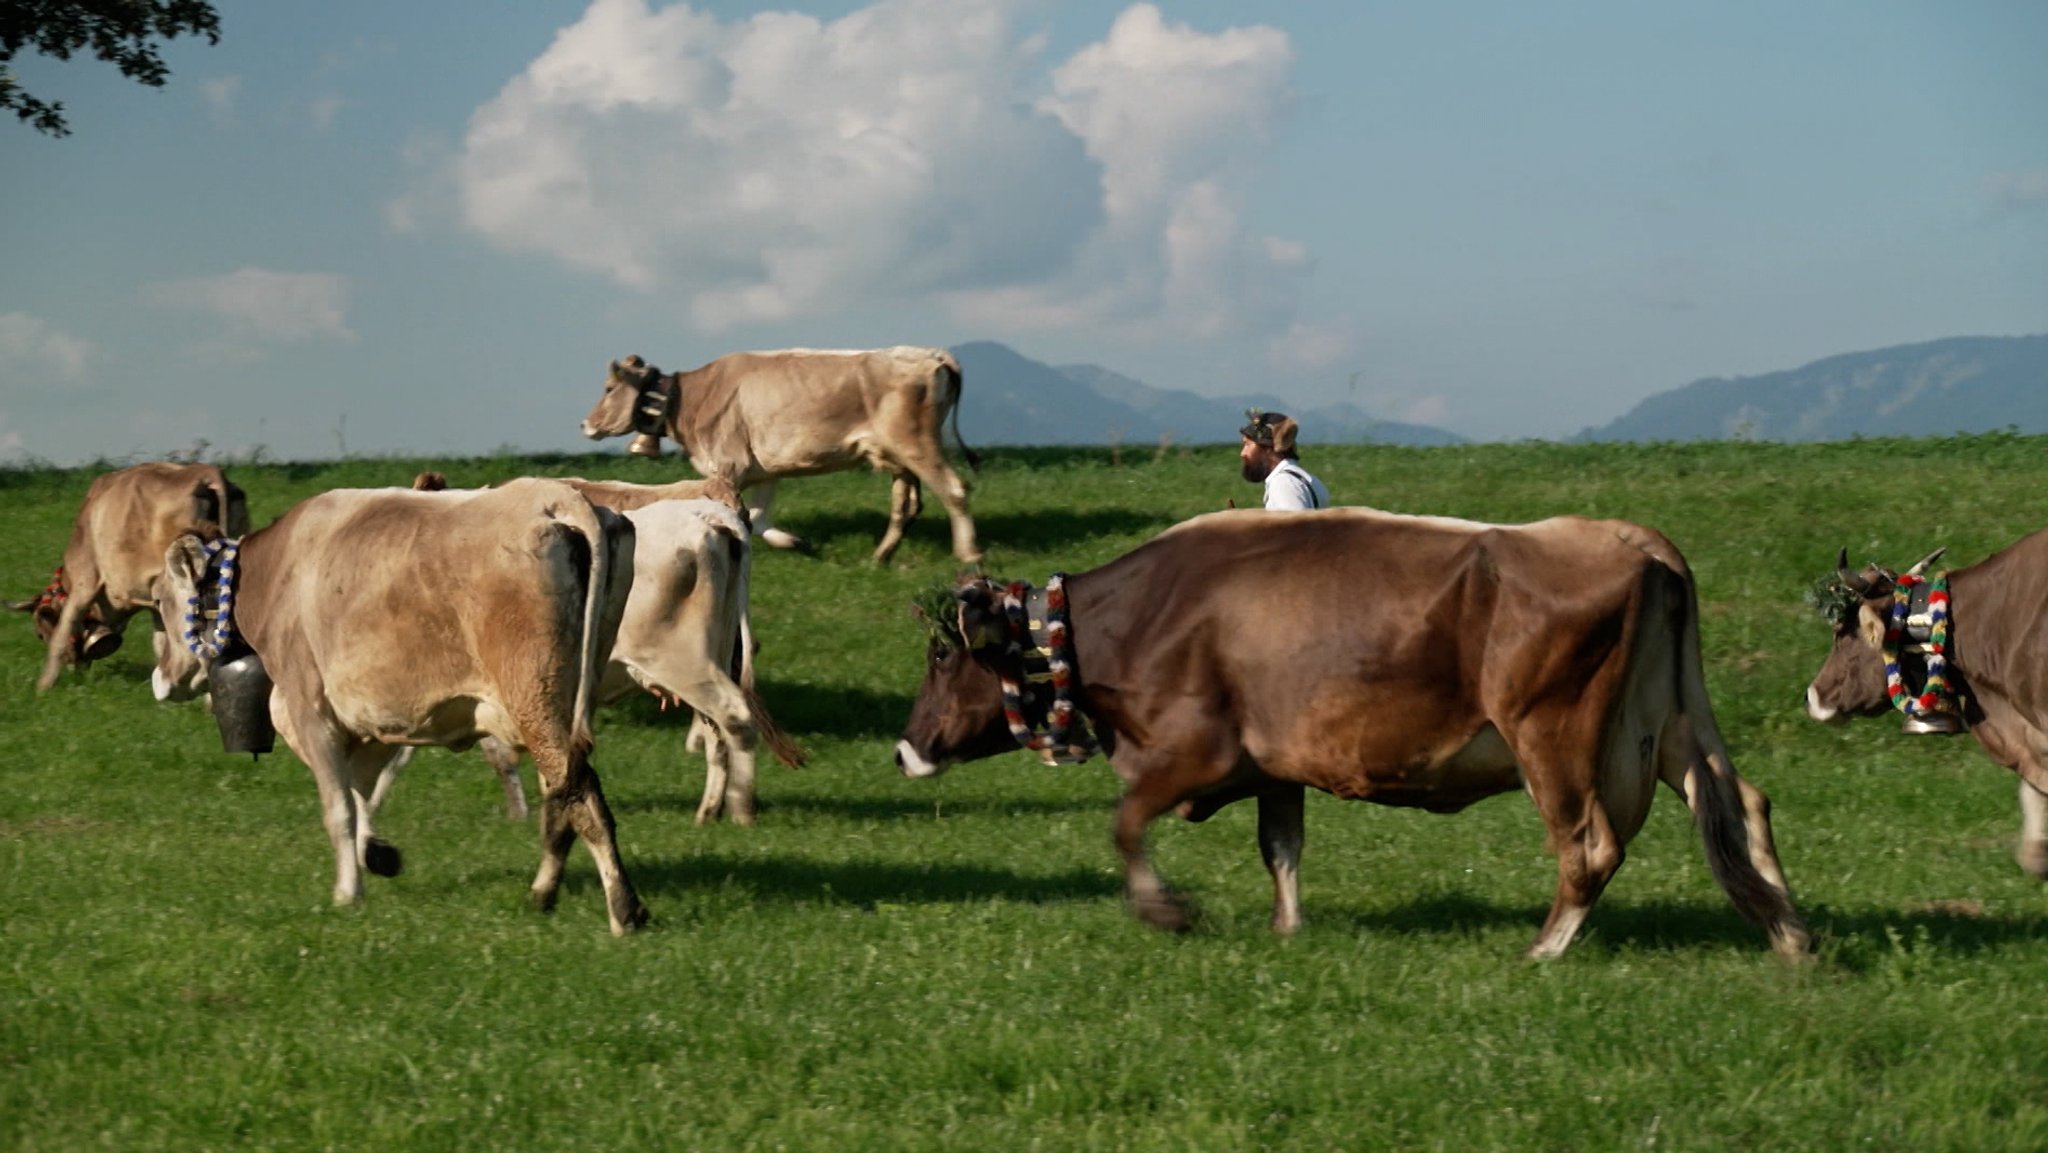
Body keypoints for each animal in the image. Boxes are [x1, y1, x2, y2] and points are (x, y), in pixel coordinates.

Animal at [13, 462, 249, 696]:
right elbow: (162, 643)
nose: (76, 668)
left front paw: (43, 686)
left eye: (40, 634)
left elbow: (63, 631)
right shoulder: (157, 605)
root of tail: (205, 472)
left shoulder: (84, 582)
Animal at [149, 481, 647, 937]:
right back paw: (544, 893)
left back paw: (624, 911)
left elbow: (340, 809)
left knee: (580, 793)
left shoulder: (311, 711)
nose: (160, 680)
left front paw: (348, 892)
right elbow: (362, 796)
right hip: (564, 696)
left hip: (535, 699)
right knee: (560, 801)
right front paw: (378, 855)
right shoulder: (372, 722)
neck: (272, 573)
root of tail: (554, 496)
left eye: (160, 600)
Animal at [577, 352, 983, 569]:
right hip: (900, 456)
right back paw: (882, 554)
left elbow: (743, 518)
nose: (585, 424)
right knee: (905, 505)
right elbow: (757, 519)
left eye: (609, 388)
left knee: (955, 489)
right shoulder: (763, 471)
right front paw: (795, 542)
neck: (691, 400)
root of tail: (931, 354)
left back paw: (969, 554)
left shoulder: (728, 466)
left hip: (917, 445)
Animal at [897, 509, 1810, 962]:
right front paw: (1287, 931)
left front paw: (1165, 910)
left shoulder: (1195, 750)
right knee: (1744, 805)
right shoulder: (1273, 763)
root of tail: (1631, 538)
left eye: (944, 656)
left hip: (1554, 733)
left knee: (1590, 844)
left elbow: (1124, 822)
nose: (906, 748)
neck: (1131, 621)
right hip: (1671, 722)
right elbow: (1281, 847)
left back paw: (1542, 951)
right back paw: (1792, 935)